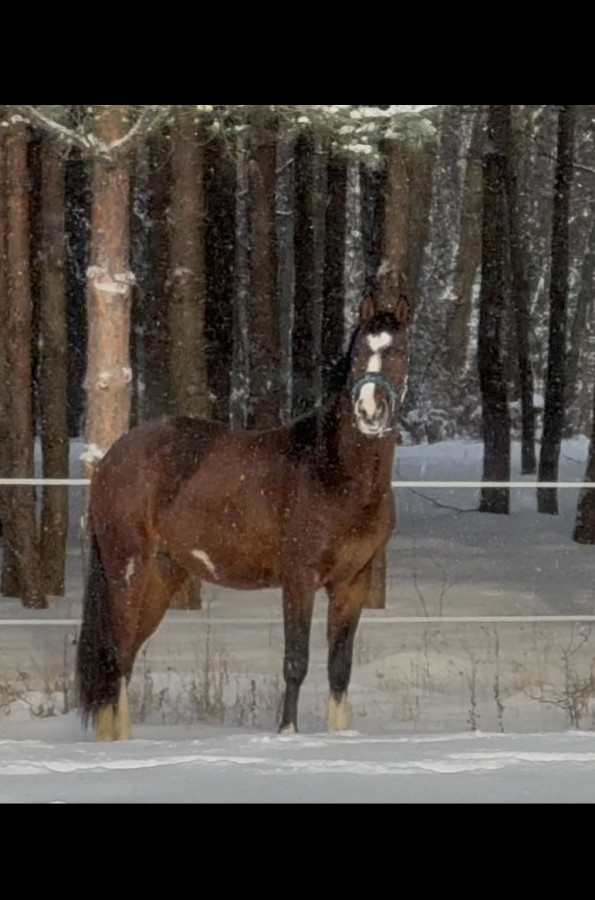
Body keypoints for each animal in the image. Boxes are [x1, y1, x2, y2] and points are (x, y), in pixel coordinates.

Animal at [76, 294, 411, 740]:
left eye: (399, 351)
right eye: (358, 353)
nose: (369, 411)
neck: (337, 471)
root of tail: (111, 459)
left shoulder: (352, 583)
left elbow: (339, 669)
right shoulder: (300, 579)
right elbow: (296, 662)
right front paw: (287, 733)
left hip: (161, 576)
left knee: (125, 658)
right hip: (126, 569)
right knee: (115, 654)